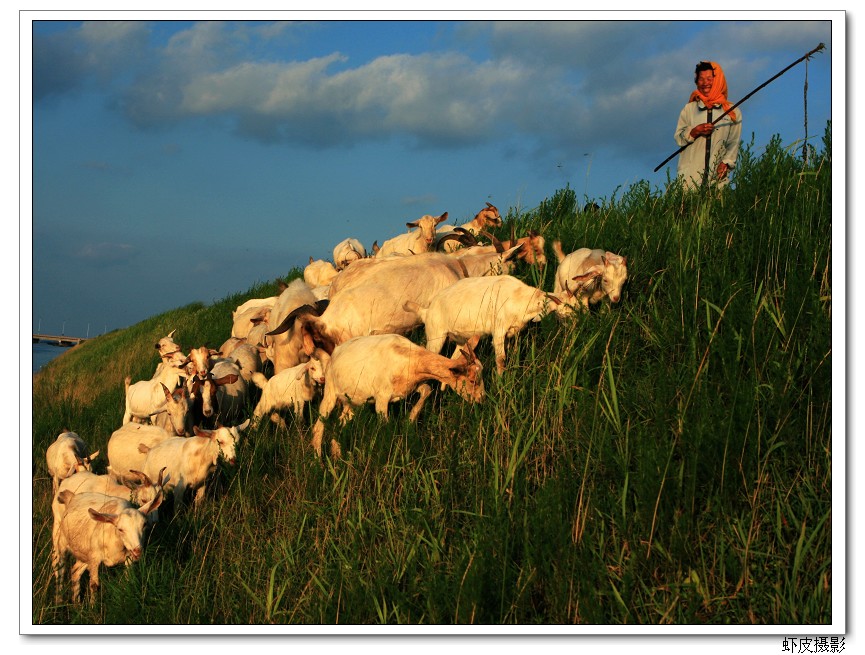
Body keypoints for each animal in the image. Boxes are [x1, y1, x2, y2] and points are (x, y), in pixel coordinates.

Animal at [310, 336, 486, 458]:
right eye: (472, 380)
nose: (481, 399)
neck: (408, 359)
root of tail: (332, 356)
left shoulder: (410, 387)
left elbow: (427, 390)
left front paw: (410, 420)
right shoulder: (381, 398)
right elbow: (386, 426)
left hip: (352, 402)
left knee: (340, 423)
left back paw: (336, 456)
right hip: (330, 391)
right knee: (319, 426)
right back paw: (318, 460)